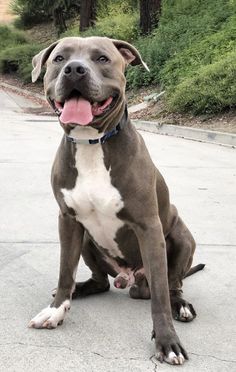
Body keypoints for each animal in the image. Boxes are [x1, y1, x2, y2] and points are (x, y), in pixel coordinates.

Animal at [28, 37, 205, 366]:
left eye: (102, 58)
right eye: (59, 59)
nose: (75, 69)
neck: (91, 143)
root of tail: (131, 279)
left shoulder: (148, 227)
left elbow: (160, 295)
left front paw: (167, 341)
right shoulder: (68, 221)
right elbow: (65, 271)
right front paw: (57, 309)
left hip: (181, 236)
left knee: (172, 284)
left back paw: (181, 304)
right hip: (87, 239)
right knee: (100, 281)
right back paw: (78, 291)